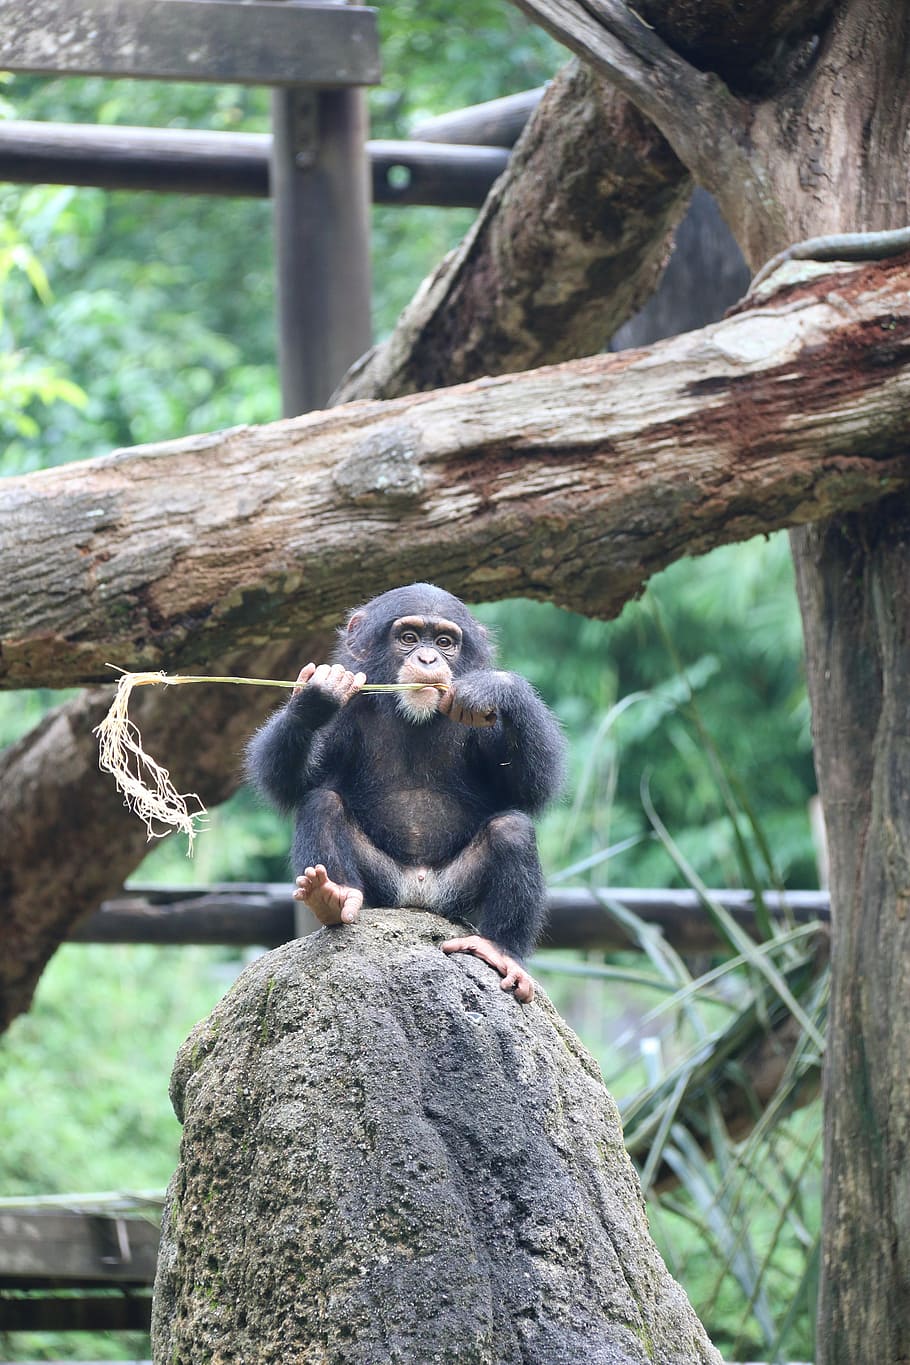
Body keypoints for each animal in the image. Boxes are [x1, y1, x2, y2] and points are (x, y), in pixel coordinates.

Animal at [245, 583, 566, 1003]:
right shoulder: (348, 712)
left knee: (512, 830)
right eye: (409, 638)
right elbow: (291, 782)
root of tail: (418, 898)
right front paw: (315, 696)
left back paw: (501, 950)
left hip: (453, 894)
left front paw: (497, 686)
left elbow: (528, 787)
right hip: (383, 887)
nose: (428, 658)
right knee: (322, 804)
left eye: (445, 642)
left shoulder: (484, 723)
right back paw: (333, 898)